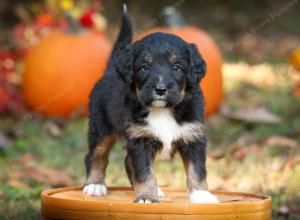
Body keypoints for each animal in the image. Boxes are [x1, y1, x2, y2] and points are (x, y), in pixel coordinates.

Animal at [83, 6, 219, 204]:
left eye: (176, 67)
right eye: (145, 67)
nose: (160, 89)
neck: (163, 110)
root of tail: (109, 70)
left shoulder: (193, 136)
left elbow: (197, 169)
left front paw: (201, 196)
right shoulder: (140, 139)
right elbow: (144, 172)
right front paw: (147, 197)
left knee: (126, 160)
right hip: (101, 128)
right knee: (96, 155)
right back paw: (94, 185)